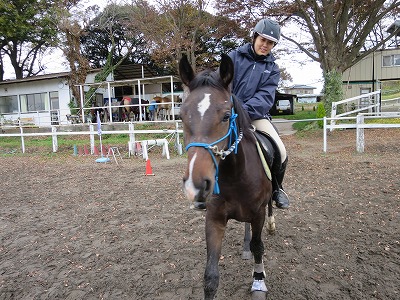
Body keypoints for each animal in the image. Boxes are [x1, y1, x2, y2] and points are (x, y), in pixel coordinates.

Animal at [180, 54, 276, 300]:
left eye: (225, 116)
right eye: (181, 116)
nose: (195, 185)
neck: (236, 176)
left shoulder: (258, 213)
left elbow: (259, 247)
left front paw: (258, 282)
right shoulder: (214, 218)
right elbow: (210, 277)